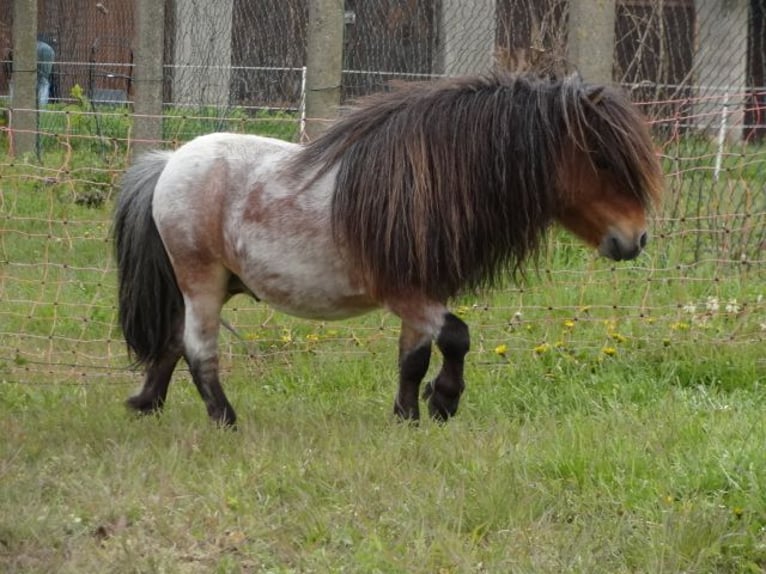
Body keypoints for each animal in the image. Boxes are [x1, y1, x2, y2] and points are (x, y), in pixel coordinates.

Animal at [114, 73, 664, 428]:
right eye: (601, 159)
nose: (635, 239)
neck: (428, 186)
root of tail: (168, 163)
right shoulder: (407, 295)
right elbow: (458, 337)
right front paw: (442, 403)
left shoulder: (423, 297)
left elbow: (412, 359)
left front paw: (408, 416)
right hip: (202, 280)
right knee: (198, 348)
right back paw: (225, 419)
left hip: (222, 283)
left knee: (171, 340)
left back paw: (147, 402)